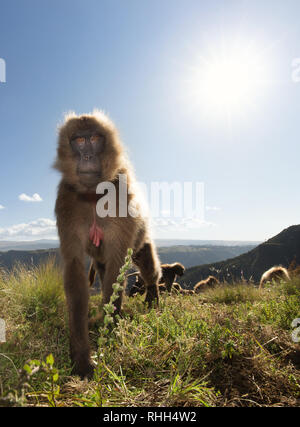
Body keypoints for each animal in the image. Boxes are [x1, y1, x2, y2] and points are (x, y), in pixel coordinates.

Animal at [54, 111, 162, 382]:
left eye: (94, 138)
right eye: (78, 140)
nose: (87, 156)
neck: (93, 195)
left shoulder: (121, 196)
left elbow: (117, 266)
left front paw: (110, 325)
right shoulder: (67, 201)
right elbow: (74, 268)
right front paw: (81, 354)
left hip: (142, 237)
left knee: (144, 259)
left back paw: (152, 294)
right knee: (102, 269)